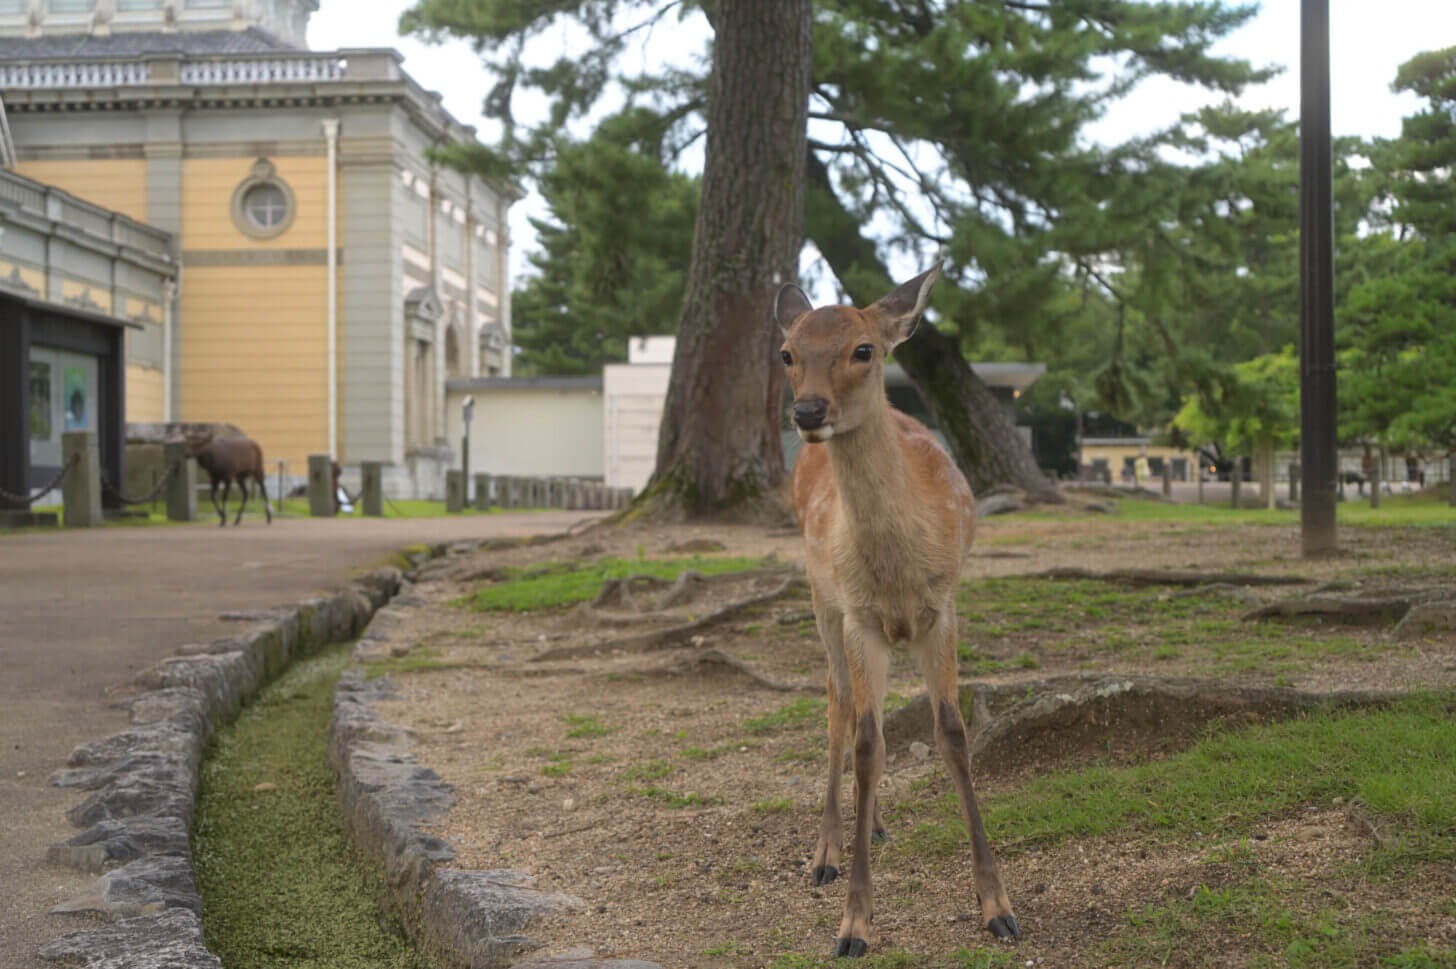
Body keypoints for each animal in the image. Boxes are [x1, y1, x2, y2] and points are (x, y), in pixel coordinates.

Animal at [780, 266, 1019, 960]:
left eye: (864, 349)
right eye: (786, 354)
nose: (808, 411)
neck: (896, 569)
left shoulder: (943, 607)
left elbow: (951, 735)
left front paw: (998, 907)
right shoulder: (860, 614)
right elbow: (864, 742)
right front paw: (854, 926)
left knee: (872, 721)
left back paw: (878, 824)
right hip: (821, 599)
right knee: (839, 706)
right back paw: (827, 852)